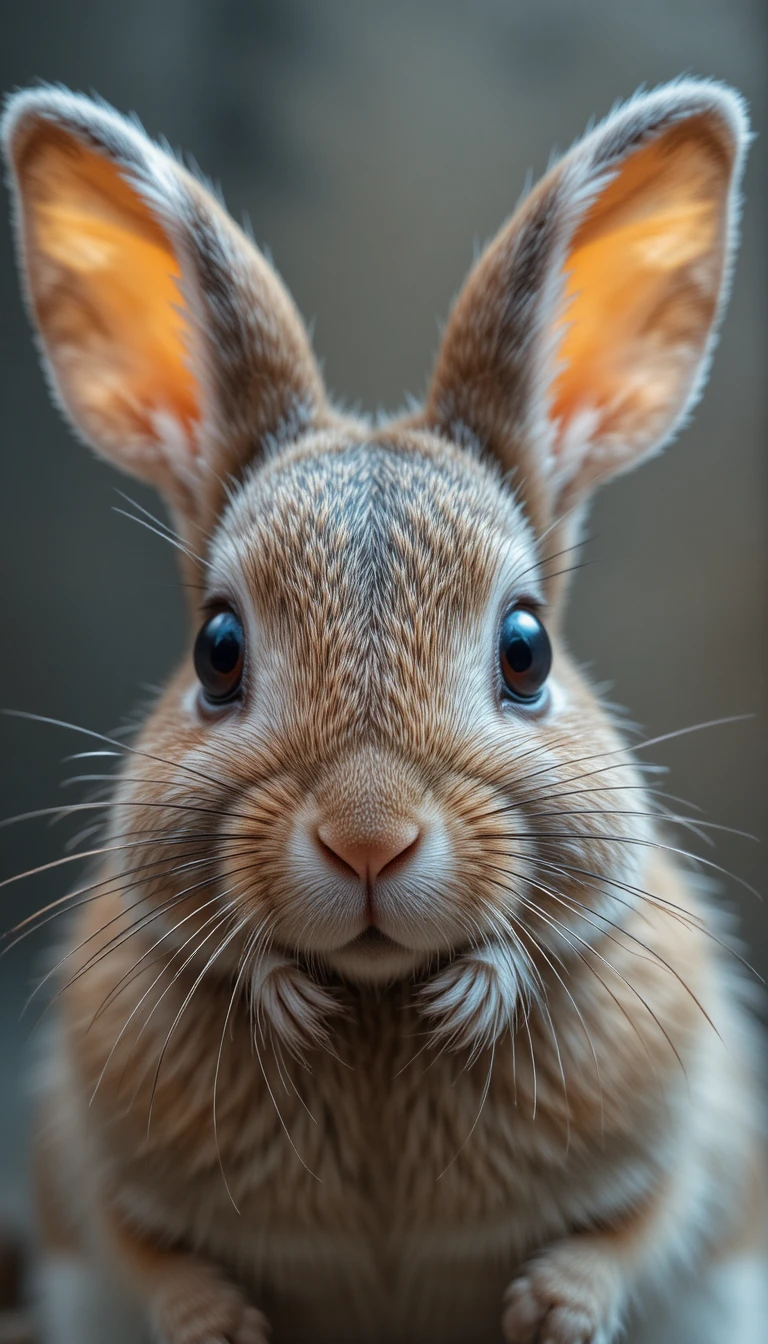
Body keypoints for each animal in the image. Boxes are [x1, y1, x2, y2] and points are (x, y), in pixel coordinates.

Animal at [2, 75, 766, 1344]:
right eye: (217, 652)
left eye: (525, 650)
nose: (369, 839)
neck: (377, 1007)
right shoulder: (82, 1158)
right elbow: (143, 1248)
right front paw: (219, 1325)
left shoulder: (700, 1133)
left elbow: (640, 1224)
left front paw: (553, 1311)